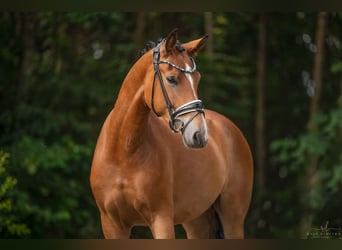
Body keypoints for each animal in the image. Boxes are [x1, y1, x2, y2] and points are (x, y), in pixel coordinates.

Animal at [90, 28, 254, 238]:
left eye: (197, 79)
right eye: (171, 79)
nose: (199, 135)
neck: (123, 151)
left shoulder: (161, 219)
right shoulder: (112, 224)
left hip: (233, 219)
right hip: (196, 221)